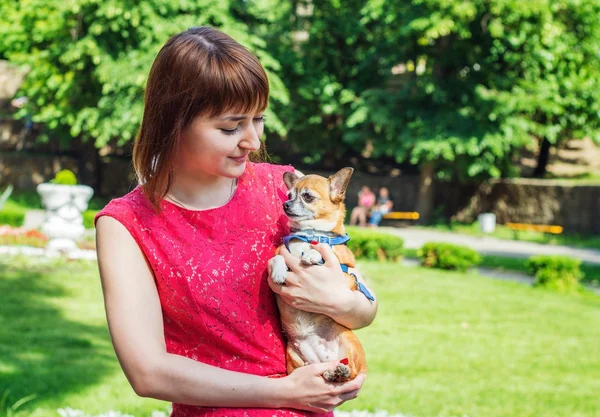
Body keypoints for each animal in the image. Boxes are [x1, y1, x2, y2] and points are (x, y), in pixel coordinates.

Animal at [270, 167, 372, 382]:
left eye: (307, 196)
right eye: (289, 195)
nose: (285, 204)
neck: (309, 234)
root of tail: (325, 358)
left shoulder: (345, 268)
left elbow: (325, 250)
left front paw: (312, 254)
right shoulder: (278, 252)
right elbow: (277, 258)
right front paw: (279, 272)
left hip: (349, 340)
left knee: (351, 373)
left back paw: (342, 372)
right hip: (294, 356)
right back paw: (330, 372)